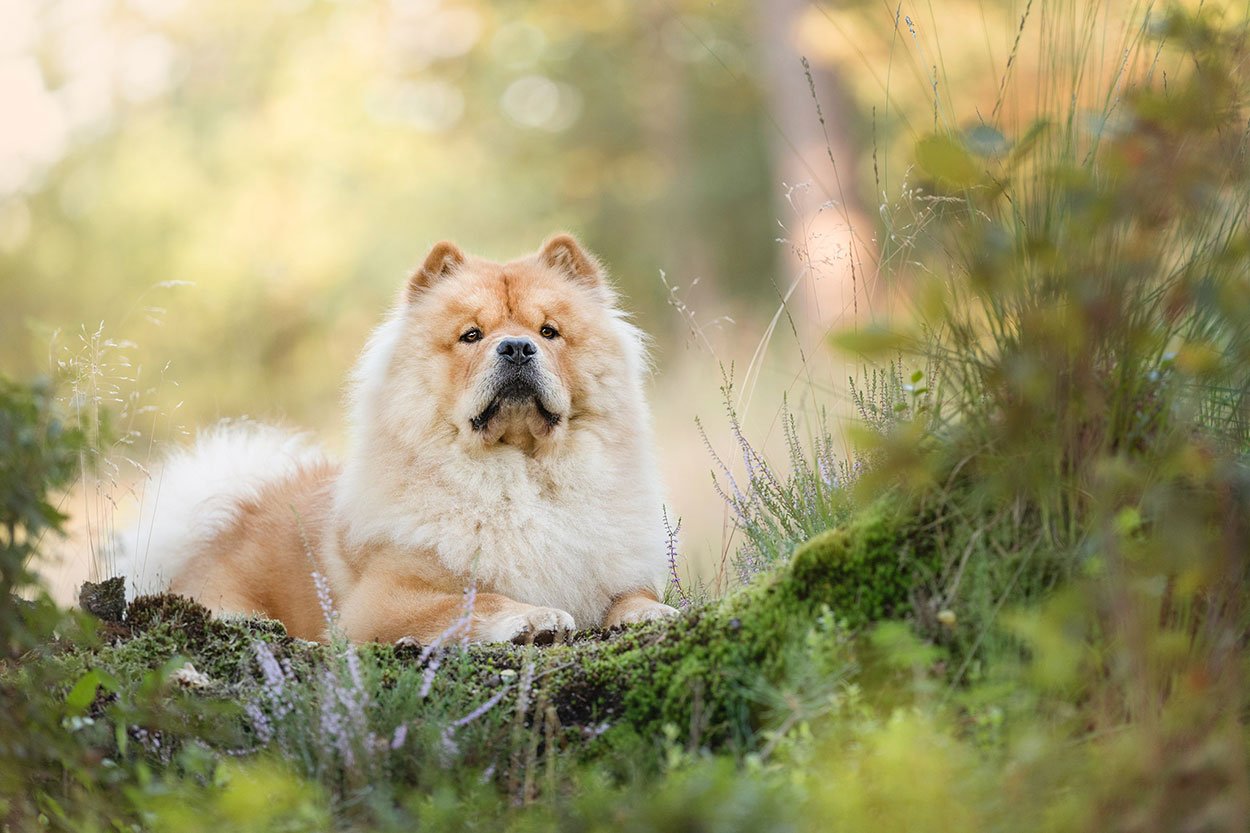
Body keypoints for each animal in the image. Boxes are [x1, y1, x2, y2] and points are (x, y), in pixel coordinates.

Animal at [121, 233, 680, 640]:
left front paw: (654, 614)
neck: (518, 477)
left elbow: (635, 595)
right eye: (471, 335)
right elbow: (472, 601)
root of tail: (220, 527)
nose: (517, 347)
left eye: (549, 331)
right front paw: (534, 616)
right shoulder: (381, 604)